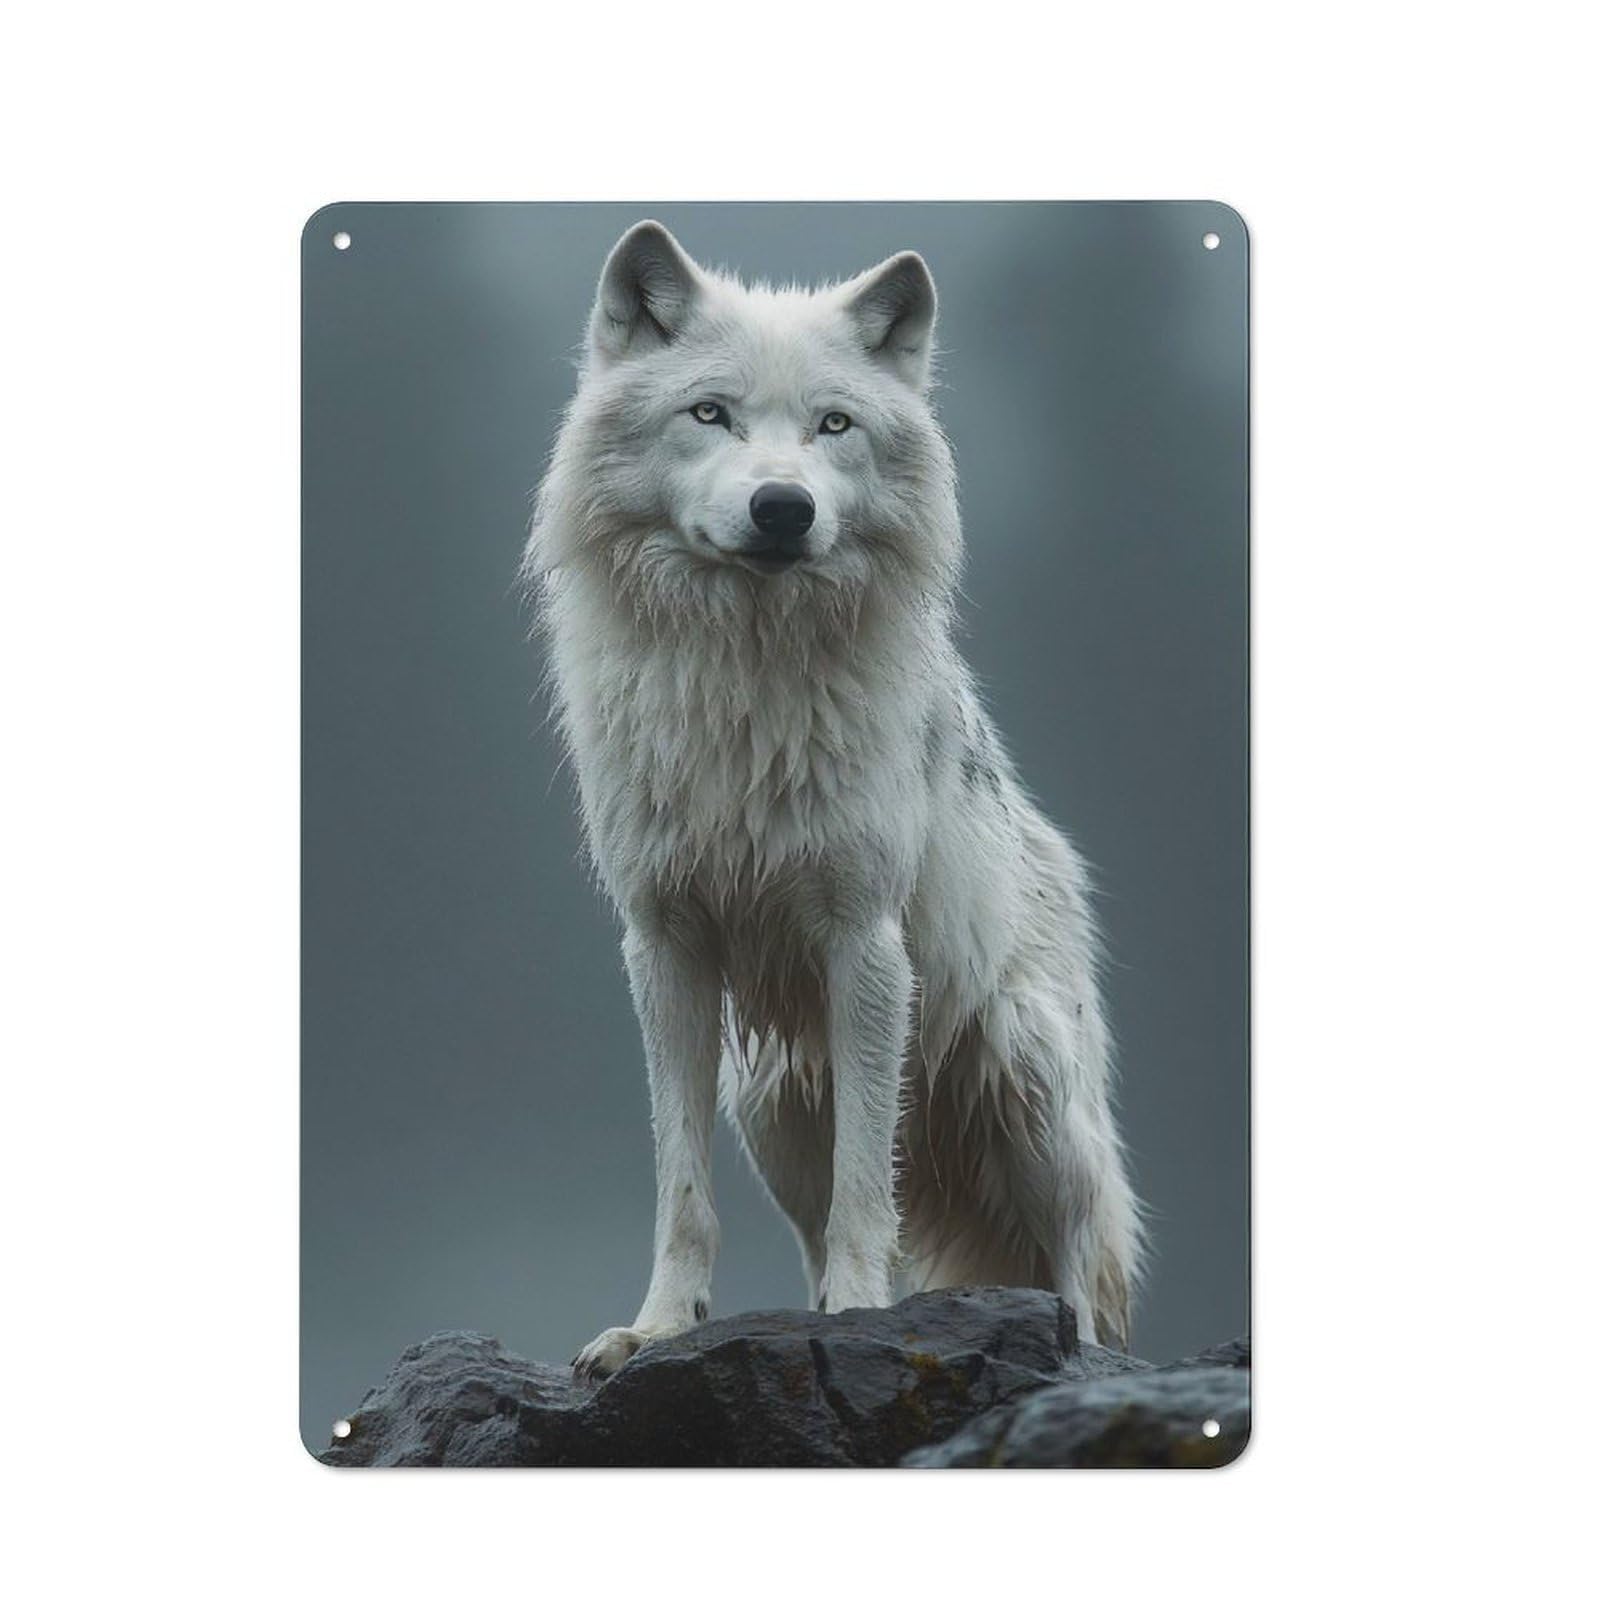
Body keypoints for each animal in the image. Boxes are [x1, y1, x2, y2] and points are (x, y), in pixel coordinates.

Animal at [525, 221, 1143, 1379]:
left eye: (833, 425)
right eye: (709, 413)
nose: (784, 507)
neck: (745, 682)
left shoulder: (864, 945)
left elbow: (869, 1184)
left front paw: (860, 1317)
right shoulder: (665, 947)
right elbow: (683, 1186)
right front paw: (660, 1327)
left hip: (1024, 1074)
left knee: (1077, 1265)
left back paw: (1070, 1349)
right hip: (772, 1103)